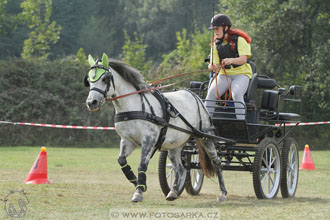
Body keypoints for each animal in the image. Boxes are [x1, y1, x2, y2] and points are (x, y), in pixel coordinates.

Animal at [84, 53, 227, 203]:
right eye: (88, 80)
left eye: (104, 79)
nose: (91, 102)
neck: (133, 106)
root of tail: (195, 97)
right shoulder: (127, 141)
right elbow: (121, 161)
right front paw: (139, 183)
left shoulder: (149, 140)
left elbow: (142, 165)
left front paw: (138, 192)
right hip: (175, 145)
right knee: (180, 168)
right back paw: (173, 192)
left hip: (205, 137)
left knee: (217, 162)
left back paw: (222, 193)